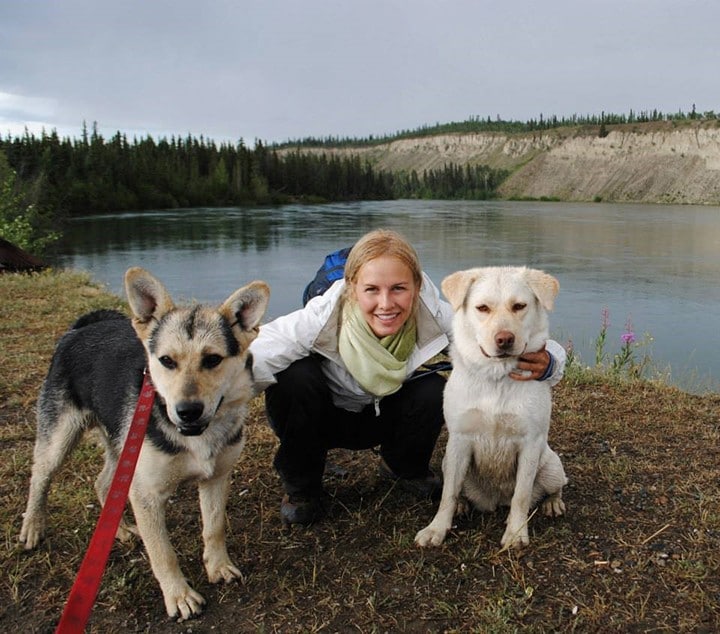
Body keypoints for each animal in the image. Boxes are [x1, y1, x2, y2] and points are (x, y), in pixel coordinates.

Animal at [416, 264, 568, 544]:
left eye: (519, 306)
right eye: (482, 308)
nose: (504, 339)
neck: (497, 377)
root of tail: (495, 501)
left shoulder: (530, 442)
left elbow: (521, 496)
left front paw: (516, 533)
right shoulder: (459, 440)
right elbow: (448, 494)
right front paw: (437, 528)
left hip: (551, 465)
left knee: (556, 487)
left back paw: (552, 503)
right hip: (446, 461)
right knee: (457, 490)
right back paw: (463, 504)